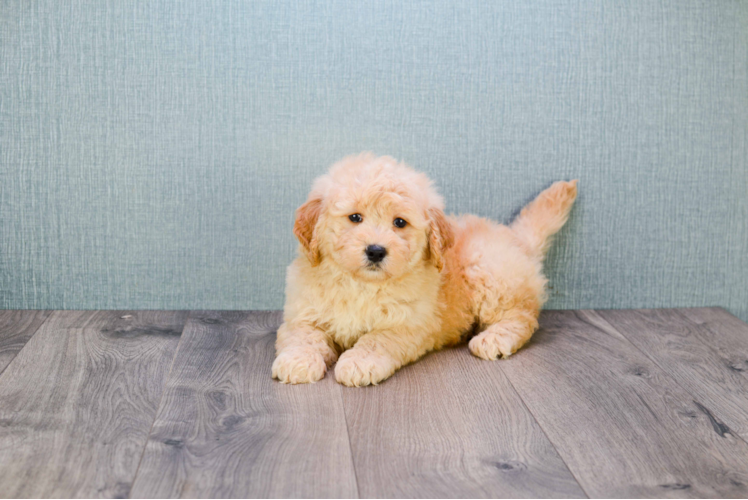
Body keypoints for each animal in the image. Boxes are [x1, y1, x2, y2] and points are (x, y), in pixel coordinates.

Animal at [274, 152, 580, 386]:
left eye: (400, 222)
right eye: (355, 217)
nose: (376, 250)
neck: (362, 284)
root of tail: (517, 238)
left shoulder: (407, 324)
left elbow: (376, 340)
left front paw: (359, 362)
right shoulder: (302, 313)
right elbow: (303, 336)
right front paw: (296, 361)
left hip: (488, 273)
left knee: (522, 316)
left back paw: (494, 338)